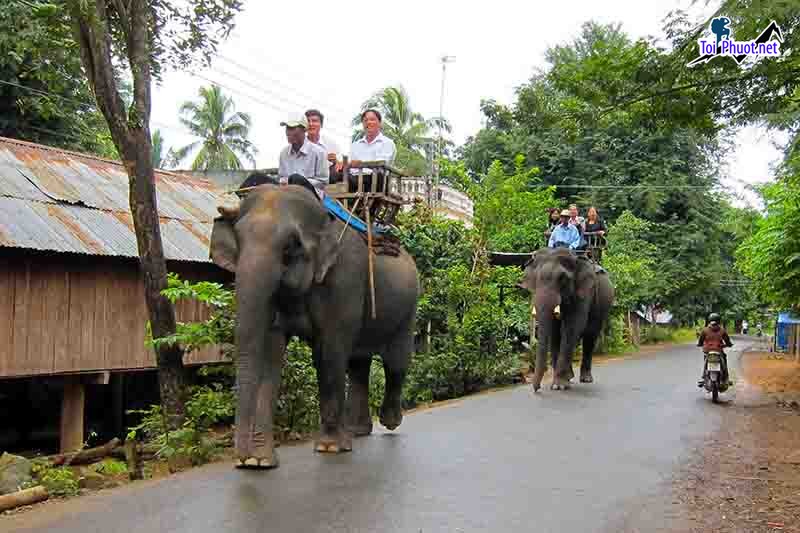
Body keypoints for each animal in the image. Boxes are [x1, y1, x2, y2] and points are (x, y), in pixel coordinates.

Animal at [209, 185, 422, 468]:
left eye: (291, 247)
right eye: (239, 241)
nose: (242, 460)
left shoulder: (344, 279)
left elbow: (329, 351)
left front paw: (329, 447)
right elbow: (269, 352)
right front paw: (261, 462)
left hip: (408, 307)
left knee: (395, 362)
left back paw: (388, 422)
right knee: (358, 364)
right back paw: (356, 431)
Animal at [520, 246, 612, 390]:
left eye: (562, 278)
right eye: (535, 279)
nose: (536, 388)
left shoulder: (584, 292)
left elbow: (572, 327)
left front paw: (559, 385)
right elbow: (554, 332)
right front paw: (560, 383)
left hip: (602, 306)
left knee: (590, 335)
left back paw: (585, 379)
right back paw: (570, 377)